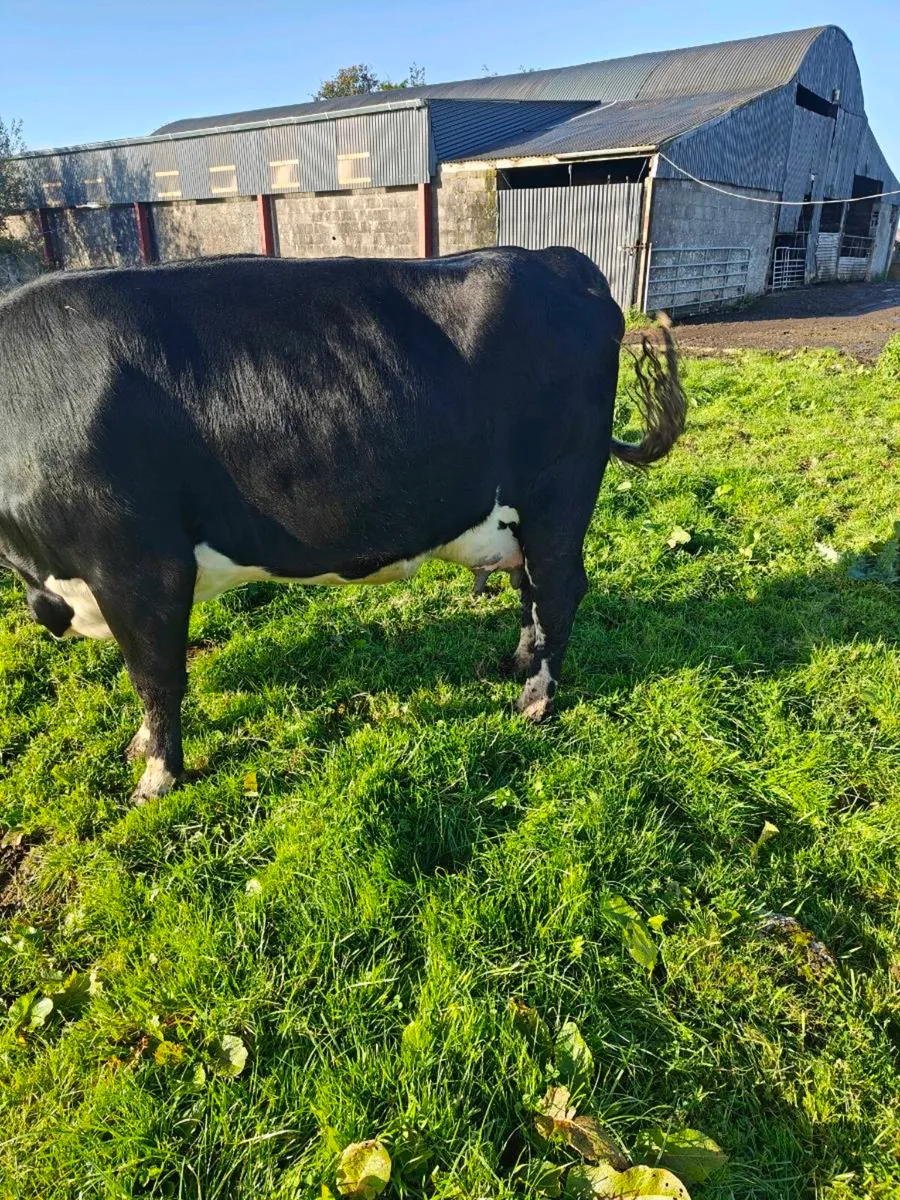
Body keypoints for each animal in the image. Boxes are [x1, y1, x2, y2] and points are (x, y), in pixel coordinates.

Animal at [0, 248, 684, 802]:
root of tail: (563, 264)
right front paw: (144, 750)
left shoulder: (141, 567)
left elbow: (155, 678)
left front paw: (157, 778)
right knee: (531, 593)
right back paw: (517, 663)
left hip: (559, 493)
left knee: (559, 590)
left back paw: (536, 699)